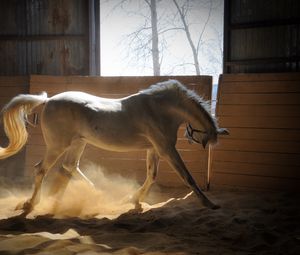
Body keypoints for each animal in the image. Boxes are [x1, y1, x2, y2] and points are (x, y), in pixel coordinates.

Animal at [0, 80, 229, 215]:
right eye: (207, 138)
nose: (195, 141)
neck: (159, 109)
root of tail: (47, 101)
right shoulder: (166, 149)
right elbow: (187, 176)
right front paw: (209, 203)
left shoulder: (154, 149)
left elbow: (152, 175)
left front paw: (135, 200)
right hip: (58, 145)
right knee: (41, 169)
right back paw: (30, 204)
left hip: (78, 142)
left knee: (69, 167)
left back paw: (92, 194)